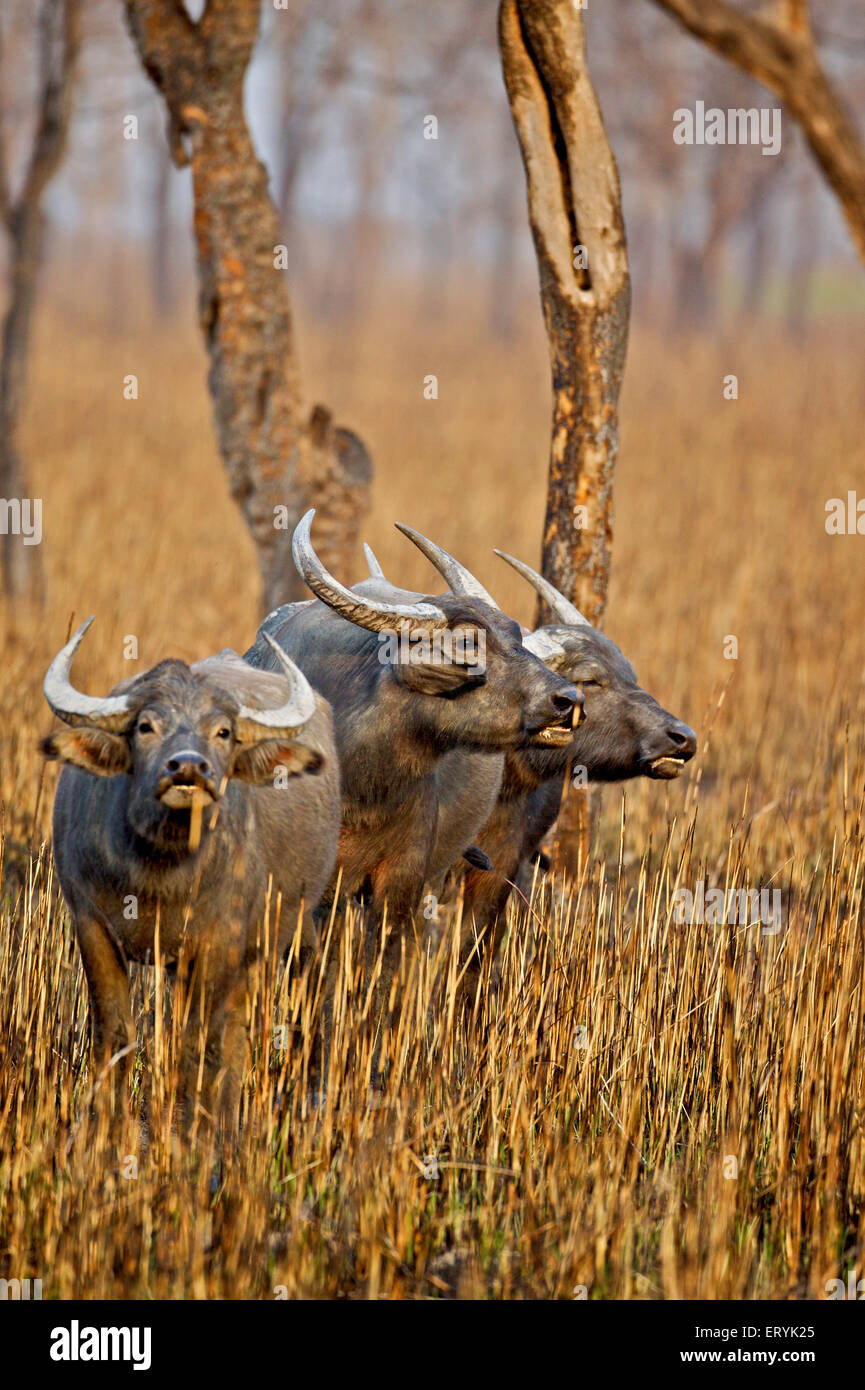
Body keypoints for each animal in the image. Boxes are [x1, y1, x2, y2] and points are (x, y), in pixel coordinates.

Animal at [42, 625, 339, 1123]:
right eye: (146, 726)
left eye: (223, 732)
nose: (187, 767)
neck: (157, 874)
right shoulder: (90, 924)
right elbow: (115, 1033)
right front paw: (106, 1126)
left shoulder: (221, 940)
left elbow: (200, 1043)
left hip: (280, 932)